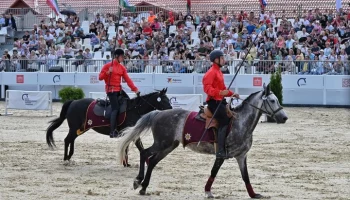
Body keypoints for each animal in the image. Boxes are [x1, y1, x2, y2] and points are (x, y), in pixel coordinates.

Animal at [117, 83, 288, 198]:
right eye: (272, 101)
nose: (284, 118)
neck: (240, 122)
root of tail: (158, 112)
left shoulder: (241, 156)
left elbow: (245, 176)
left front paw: (253, 194)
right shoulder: (221, 155)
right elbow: (213, 172)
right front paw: (208, 191)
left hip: (169, 146)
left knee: (152, 161)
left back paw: (144, 187)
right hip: (161, 144)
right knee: (145, 153)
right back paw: (138, 181)